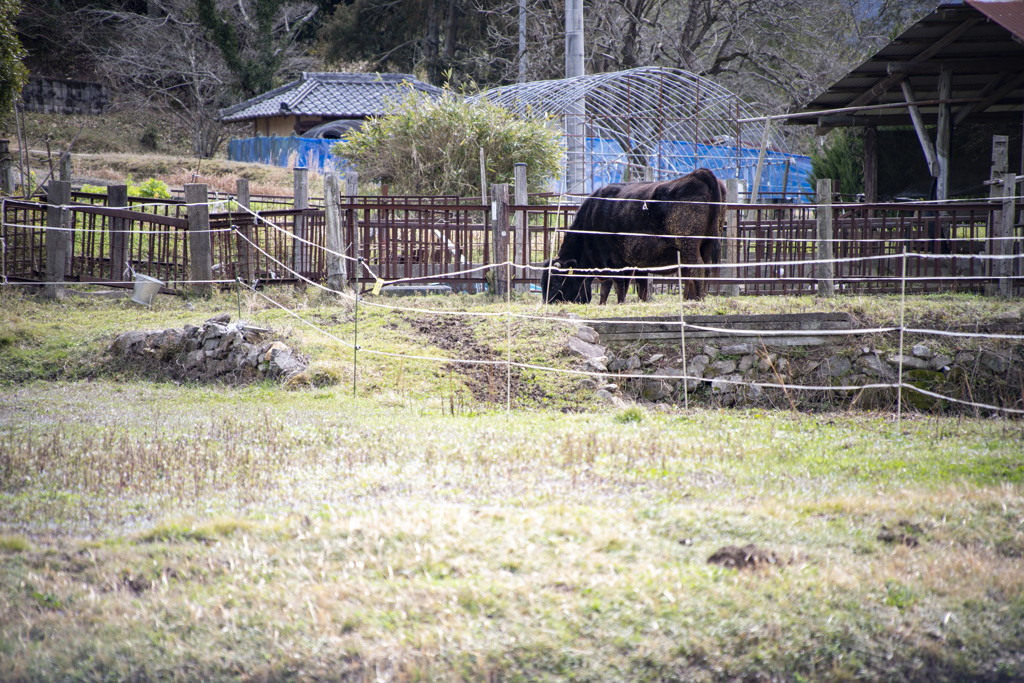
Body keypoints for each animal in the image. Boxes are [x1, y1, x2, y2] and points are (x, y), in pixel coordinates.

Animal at [540, 166, 724, 303]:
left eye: (554, 282)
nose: (548, 302)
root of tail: (697, 174)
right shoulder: (633, 263)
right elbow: (632, 289)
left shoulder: (612, 260)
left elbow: (617, 286)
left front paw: (618, 304)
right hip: (706, 243)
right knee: (703, 269)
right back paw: (694, 298)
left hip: (688, 243)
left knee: (697, 267)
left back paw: (698, 300)